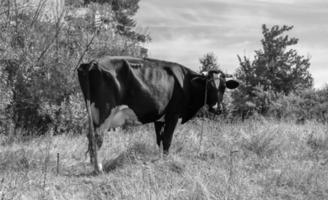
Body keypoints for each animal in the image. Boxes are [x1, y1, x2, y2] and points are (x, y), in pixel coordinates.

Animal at [78, 55, 240, 173]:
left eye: (224, 87)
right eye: (209, 86)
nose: (217, 109)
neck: (187, 81)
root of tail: (92, 62)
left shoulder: (159, 117)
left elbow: (159, 140)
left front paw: (160, 159)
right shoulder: (173, 114)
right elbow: (167, 139)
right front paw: (166, 160)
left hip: (93, 113)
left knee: (90, 135)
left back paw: (91, 164)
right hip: (104, 111)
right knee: (98, 137)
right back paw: (98, 168)